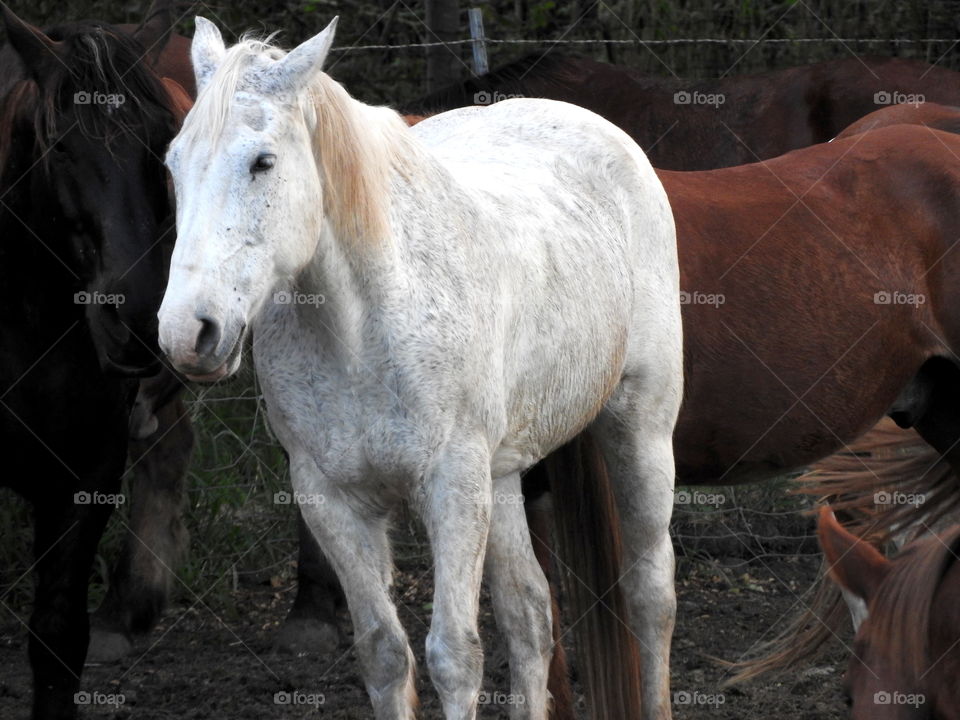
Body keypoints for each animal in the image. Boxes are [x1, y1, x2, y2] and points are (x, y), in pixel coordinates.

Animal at [158, 18, 684, 720]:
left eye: (262, 161)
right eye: (174, 164)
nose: (188, 333)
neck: (362, 330)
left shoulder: (450, 487)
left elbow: (454, 657)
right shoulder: (331, 499)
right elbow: (385, 654)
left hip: (639, 430)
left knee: (651, 596)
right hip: (502, 475)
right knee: (529, 616)